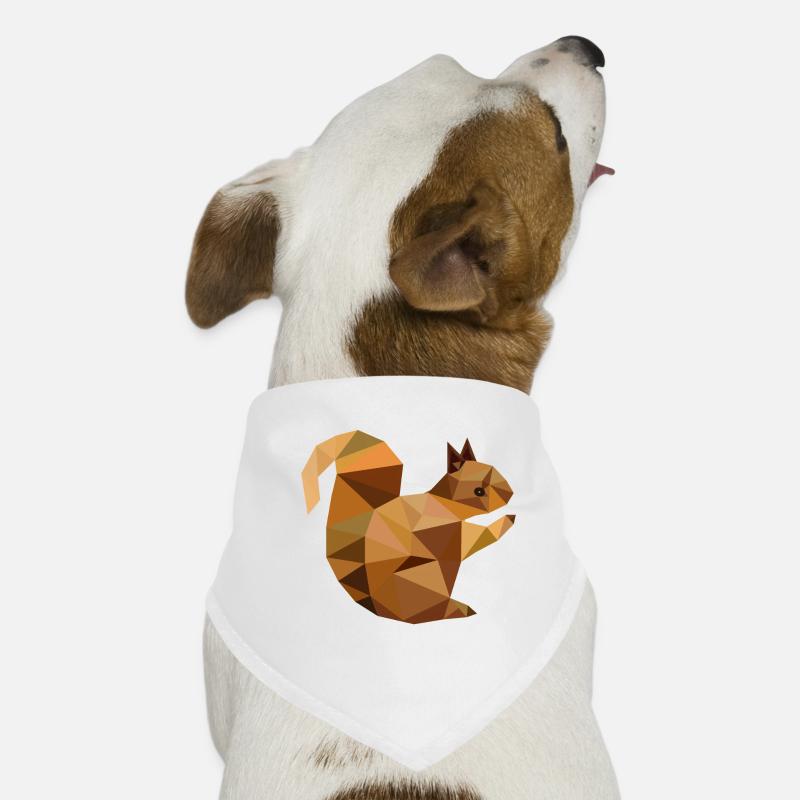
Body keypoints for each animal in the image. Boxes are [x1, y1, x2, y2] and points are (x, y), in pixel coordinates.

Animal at [302, 431, 516, 623]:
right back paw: (460, 609)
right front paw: (508, 518)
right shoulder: (458, 538)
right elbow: (485, 533)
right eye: (479, 491)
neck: (445, 504)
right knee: (435, 612)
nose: (510, 494)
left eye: (497, 472)